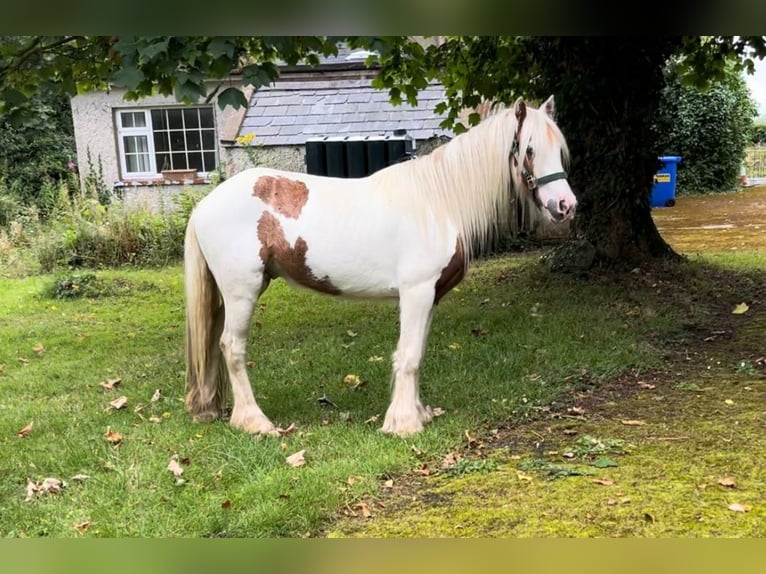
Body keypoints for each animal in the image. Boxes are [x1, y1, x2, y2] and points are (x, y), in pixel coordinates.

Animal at [183, 94, 576, 438]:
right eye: (529, 149)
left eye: (559, 151)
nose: (565, 205)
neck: (437, 202)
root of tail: (204, 206)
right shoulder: (416, 293)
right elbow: (409, 355)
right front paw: (403, 423)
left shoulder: (429, 297)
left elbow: (418, 353)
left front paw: (417, 414)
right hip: (242, 292)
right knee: (232, 347)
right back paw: (254, 422)